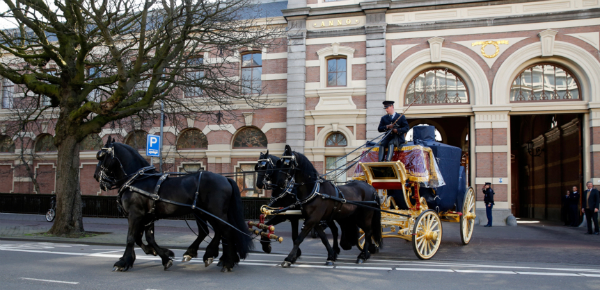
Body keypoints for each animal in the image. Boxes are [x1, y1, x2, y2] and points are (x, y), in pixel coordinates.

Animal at [94, 138, 253, 272]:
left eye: (101, 156)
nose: (96, 176)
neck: (137, 180)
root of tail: (225, 179)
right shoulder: (147, 217)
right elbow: (147, 238)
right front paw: (163, 255)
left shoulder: (135, 215)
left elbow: (131, 237)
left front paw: (123, 262)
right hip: (203, 212)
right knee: (211, 232)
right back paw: (208, 255)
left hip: (215, 212)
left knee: (226, 231)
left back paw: (226, 262)